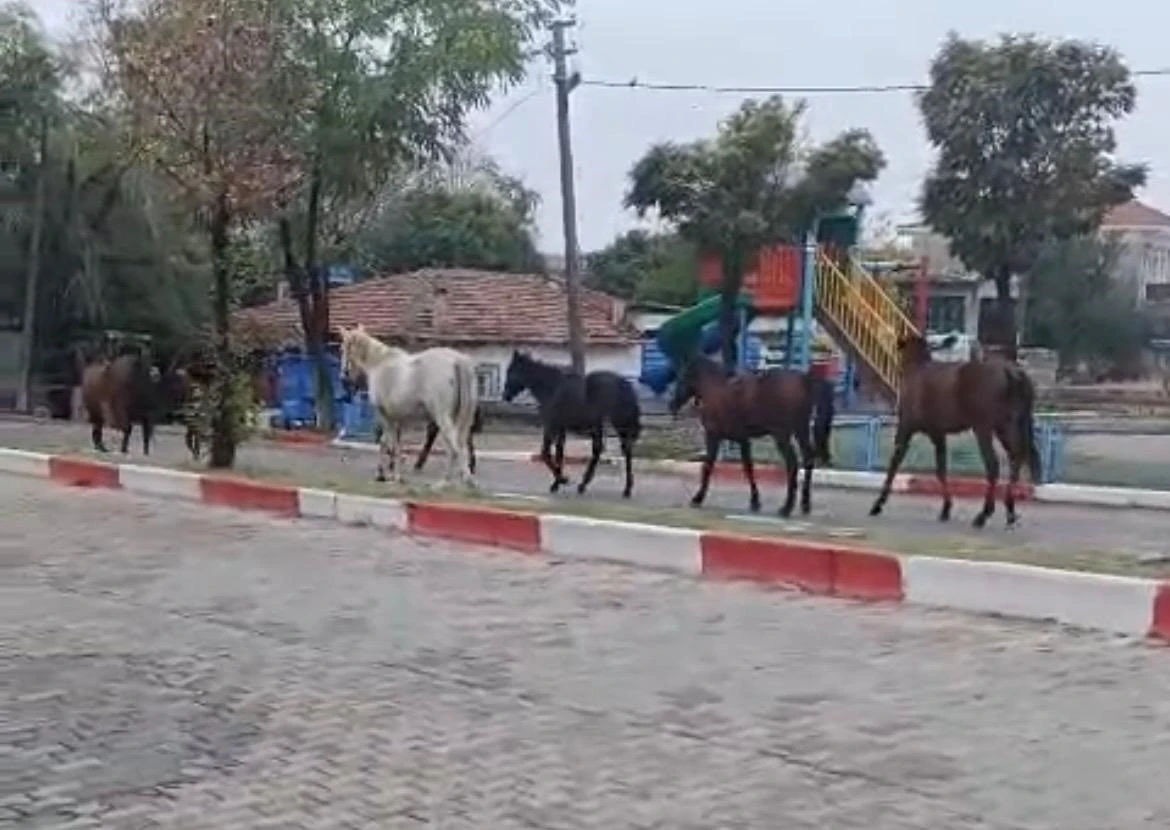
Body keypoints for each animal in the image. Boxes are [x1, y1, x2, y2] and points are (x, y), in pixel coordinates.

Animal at [338, 324, 478, 487]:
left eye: (343, 347)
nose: (343, 376)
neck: (379, 364)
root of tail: (456, 360)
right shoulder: (397, 418)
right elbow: (395, 444)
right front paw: (394, 472)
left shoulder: (384, 415)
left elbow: (386, 442)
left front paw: (385, 474)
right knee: (459, 444)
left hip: (442, 417)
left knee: (454, 448)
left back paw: (452, 481)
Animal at [501, 350, 641, 498]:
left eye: (511, 371)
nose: (505, 396)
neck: (553, 388)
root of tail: (624, 384)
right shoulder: (561, 428)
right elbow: (559, 453)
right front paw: (556, 484)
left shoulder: (552, 425)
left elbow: (545, 453)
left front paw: (563, 480)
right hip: (599, 425)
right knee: (601, 450)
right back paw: (584, 485)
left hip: (617, 423)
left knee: (624, 450)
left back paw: (626, 489)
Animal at [669, 356, 835, 516]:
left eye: (682, 376)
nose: (672, 405)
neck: (715, 388)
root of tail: (805, 379)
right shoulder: (743, 439)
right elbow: (748, 467)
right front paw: (755, 501)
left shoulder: (713, 436)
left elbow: (708, 466)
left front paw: (697, 498)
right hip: (801, 430)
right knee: (808, 459)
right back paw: (805, 505)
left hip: (782, 434)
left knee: (792, 464)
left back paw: (786, 507)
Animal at [868, 334, 1042, 528]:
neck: (917, 369)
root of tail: (1011, 372)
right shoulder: (938, 433)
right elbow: (941, 470)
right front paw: (946, 508)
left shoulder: (906, 428)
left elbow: (894, 463)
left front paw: (878, 504)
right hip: (1006, 427)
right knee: (1016, 458)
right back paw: (1010, 512)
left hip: (984, 428)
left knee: (993, 465)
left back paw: (984, 514)